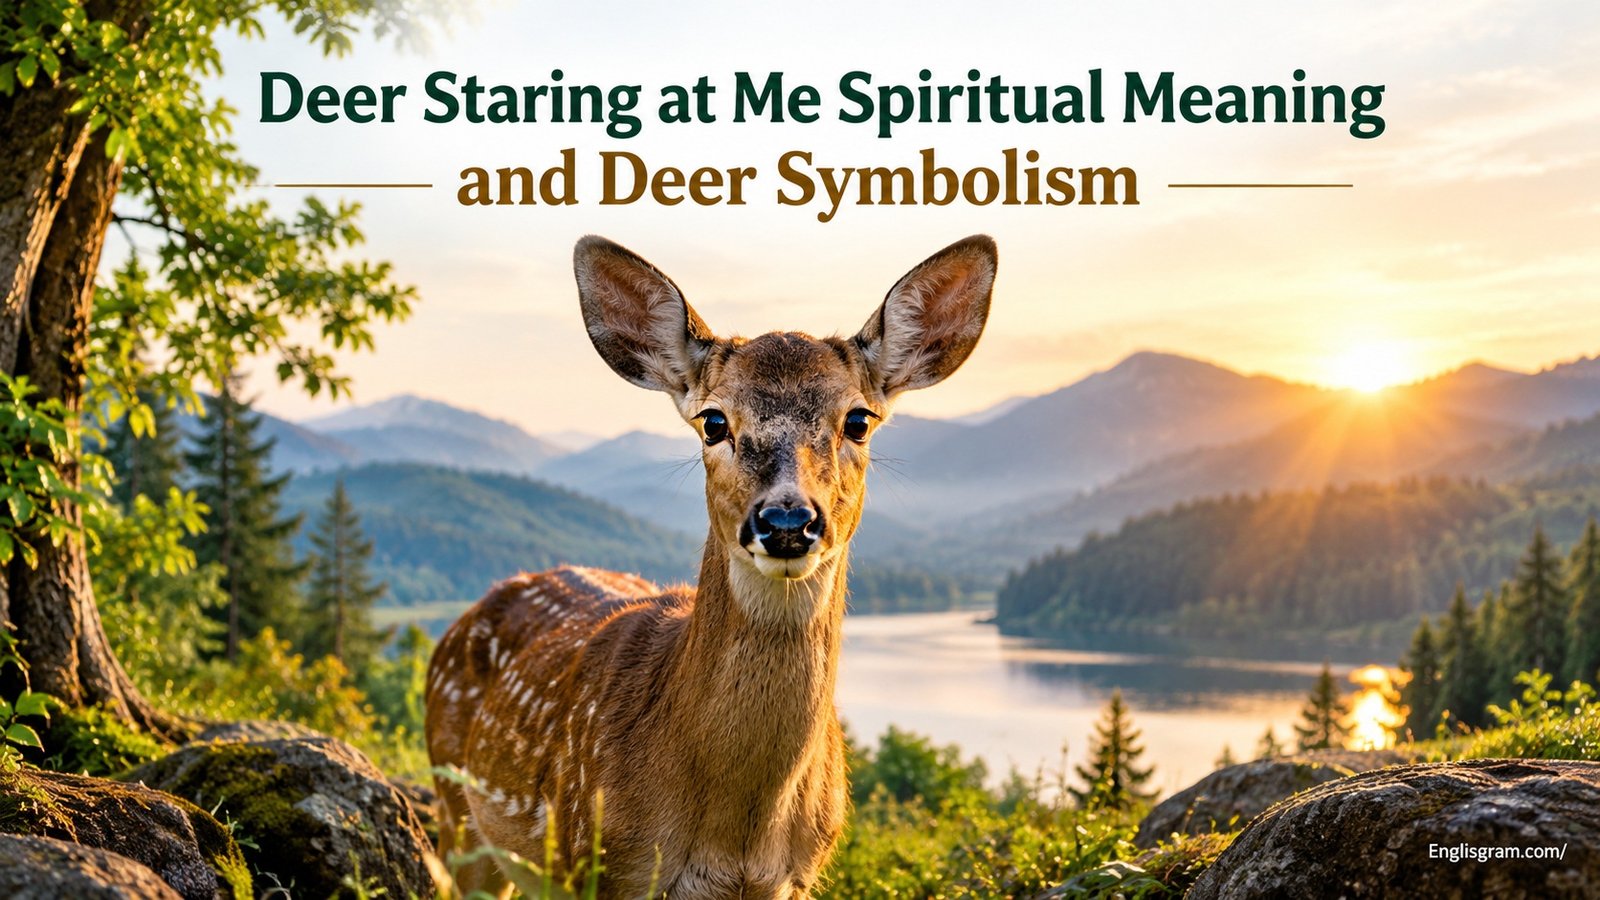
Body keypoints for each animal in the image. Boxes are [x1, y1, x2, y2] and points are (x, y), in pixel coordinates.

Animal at [425, 233, 997, 898]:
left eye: (859, 419)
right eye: (713, 420)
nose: (786, 521)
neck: (738, 840)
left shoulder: (799, 877)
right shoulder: (599, 866)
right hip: (456, 812)